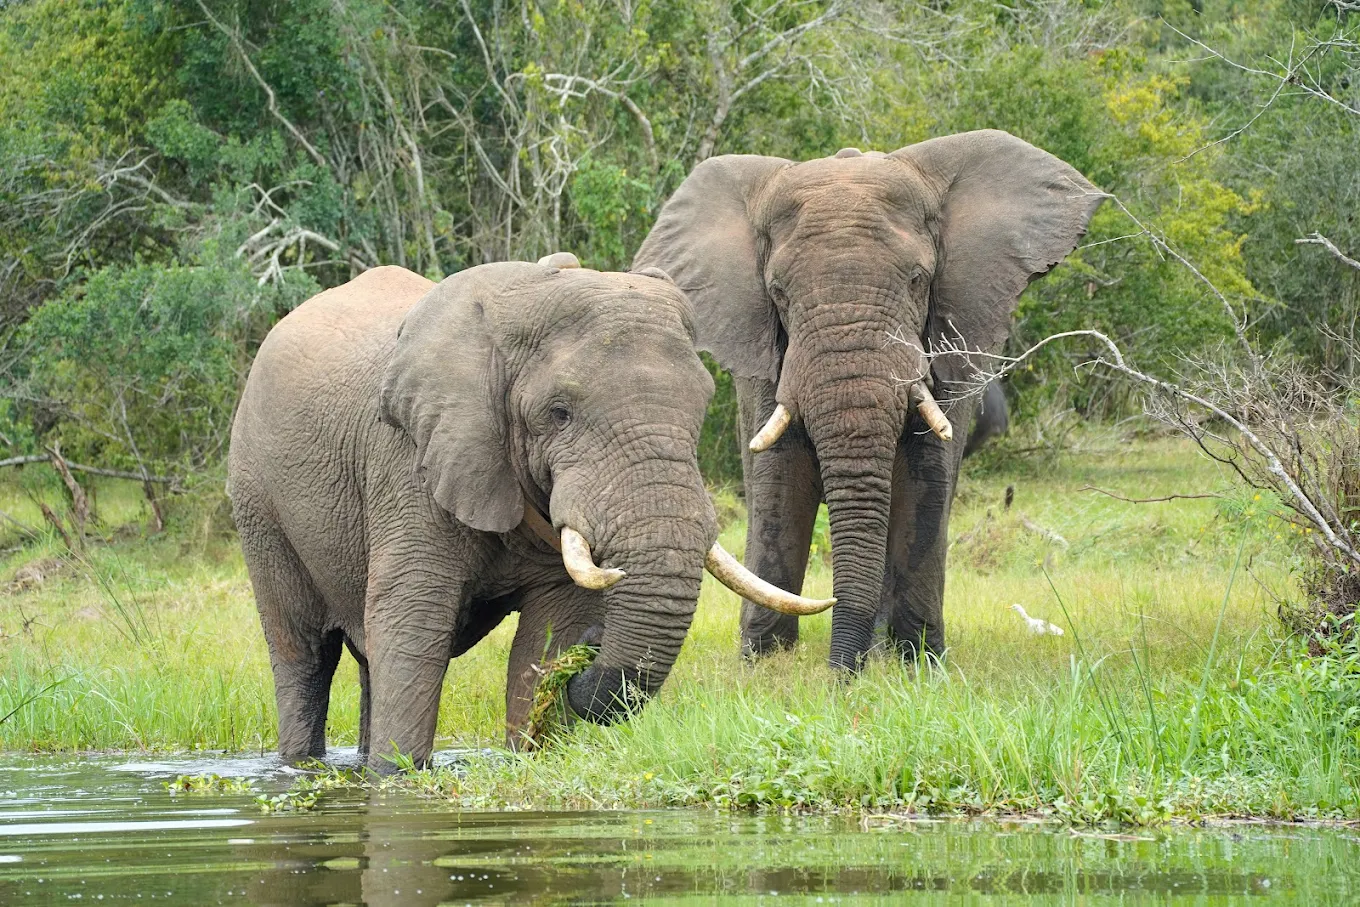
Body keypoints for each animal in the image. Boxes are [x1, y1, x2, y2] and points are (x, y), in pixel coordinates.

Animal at [227, 257, 831, 773]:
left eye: (702, 406)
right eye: (558, 413)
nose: (596, 644)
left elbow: (548, 632)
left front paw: (534, 751)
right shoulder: (409, 464)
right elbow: (412, 623)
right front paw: (395, 776)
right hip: (257, 499)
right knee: (304, 653)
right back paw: (299, 766)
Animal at [633, 130, 1103, 671]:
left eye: (918, 280)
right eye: (778, 292)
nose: (840, 676)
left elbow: (927, 475)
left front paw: (921, 662)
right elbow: (778, 475)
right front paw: (764, 663)